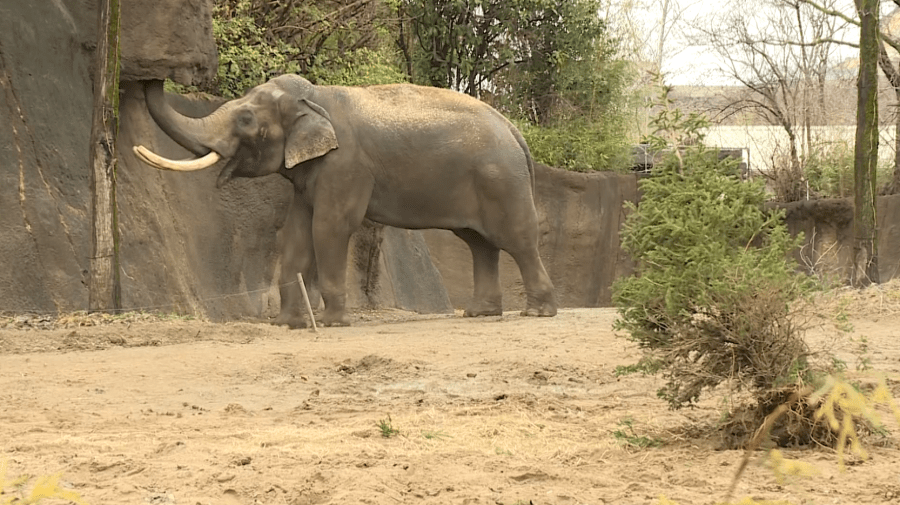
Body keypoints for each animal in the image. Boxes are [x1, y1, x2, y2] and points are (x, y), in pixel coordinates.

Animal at [133, 75, 557, 327]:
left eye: (246, 120)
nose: (152, 77)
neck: (315, 97)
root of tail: (515, 131)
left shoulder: (345, 164)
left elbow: (330, 227)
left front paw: (332, 321)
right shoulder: (311, 174)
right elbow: (297, 233)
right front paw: (289, 324)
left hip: (502, 181)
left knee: (515, 239)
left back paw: (537, 312)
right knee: (479, 243)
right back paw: (479, 313)